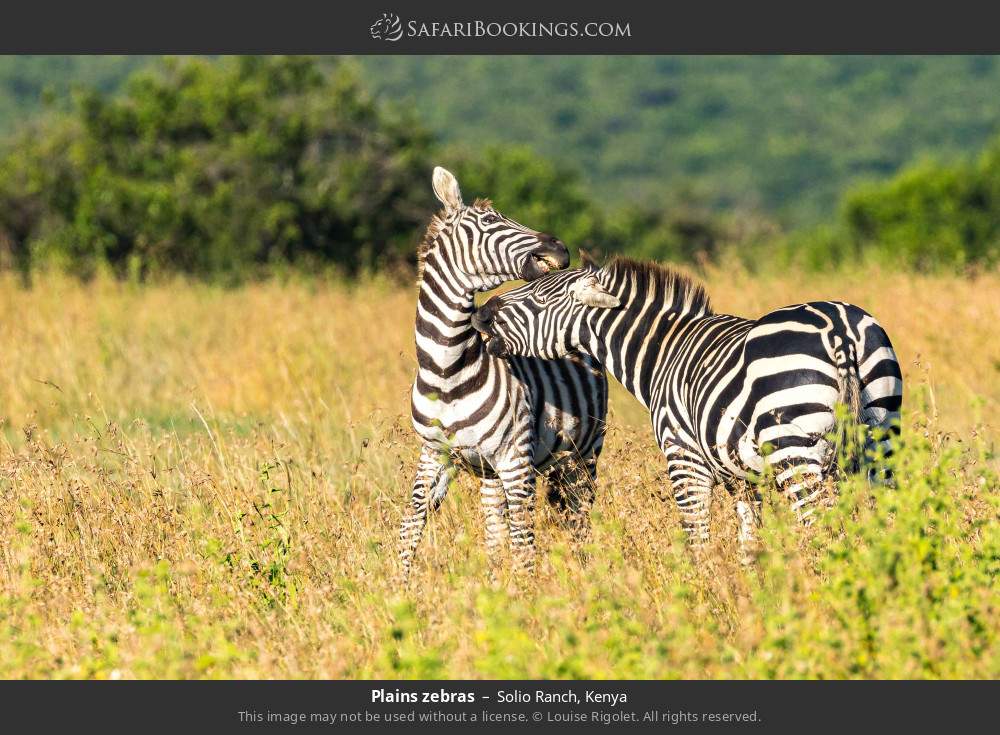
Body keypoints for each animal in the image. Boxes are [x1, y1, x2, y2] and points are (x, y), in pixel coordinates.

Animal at [400, 170, 608, 584]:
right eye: (489, 221)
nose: (560, 248)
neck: (447, 374)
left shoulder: (514, 458)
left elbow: (524, 541)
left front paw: (525, 594)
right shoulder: (435, 453)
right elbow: (413, 519)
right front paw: (395, 585)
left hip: (583, 453)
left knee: (578, 517)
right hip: (492, 472)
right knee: (498, 529)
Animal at [472, 256, 904, 556]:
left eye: (538, 297)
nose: (481, 314)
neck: (664, 352)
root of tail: (838, 329)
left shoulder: (685, 459)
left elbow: (697, 541)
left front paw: (707, 596)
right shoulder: (741, 477)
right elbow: (750, 543)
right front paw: (753, 598)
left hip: (794, 448)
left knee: (820, 525)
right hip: (880, 438)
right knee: (891, 519)